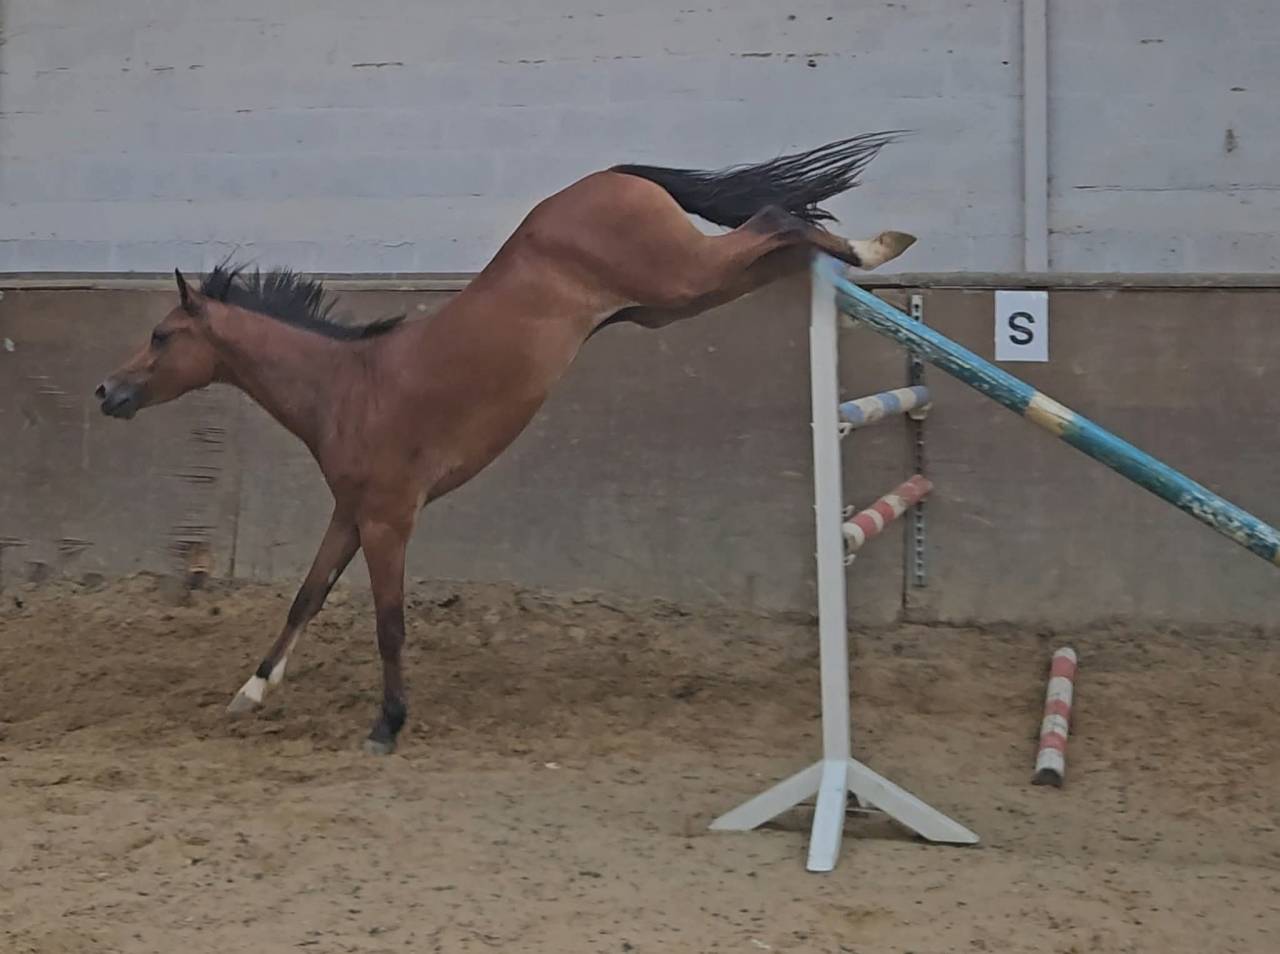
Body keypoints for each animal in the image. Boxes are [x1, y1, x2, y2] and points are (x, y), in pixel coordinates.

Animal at [95, 131, 915, 754]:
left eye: (162, 336)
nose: (107, 392)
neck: (348, 387)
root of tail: (611, 176)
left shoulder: (390, 521)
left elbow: (388, 624)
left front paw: (387, 725)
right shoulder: (351, 515)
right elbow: (306, 597)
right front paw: (251, 690)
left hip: (680, 277)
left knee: (776, 220)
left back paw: (877, 246)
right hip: (675, 299)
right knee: (779, 244)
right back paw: (867, 250)